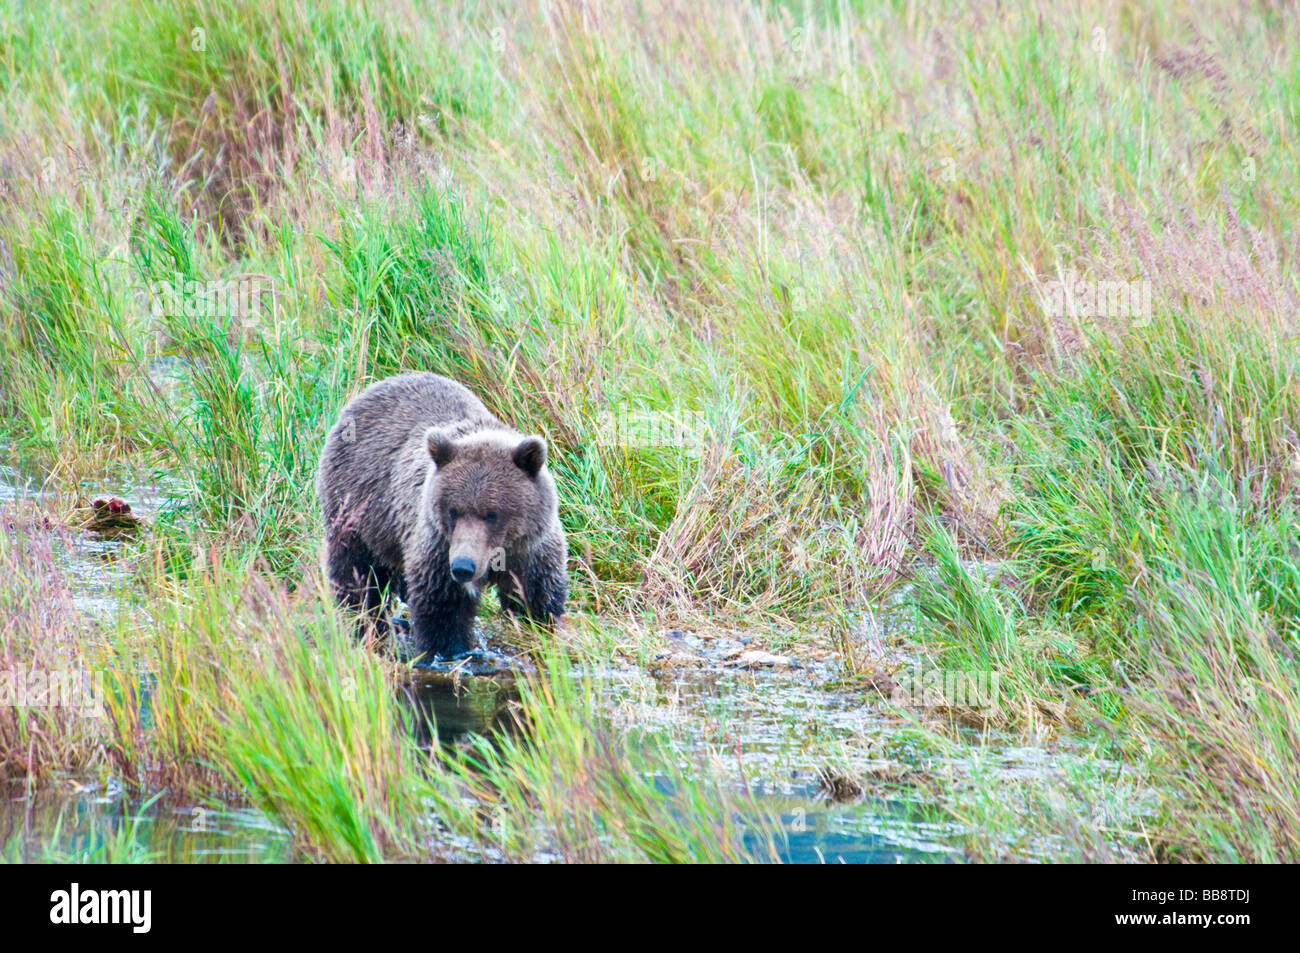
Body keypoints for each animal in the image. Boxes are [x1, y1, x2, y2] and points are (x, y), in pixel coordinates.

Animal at [317, 374, 566, 660]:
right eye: (453, 510)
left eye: (492, 514)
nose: (463, 566)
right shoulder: (438, 548)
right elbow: (442, 613)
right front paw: (448, 653)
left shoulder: (532, 553)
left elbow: (537, 601)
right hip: (357, 507)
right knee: (357, 572)